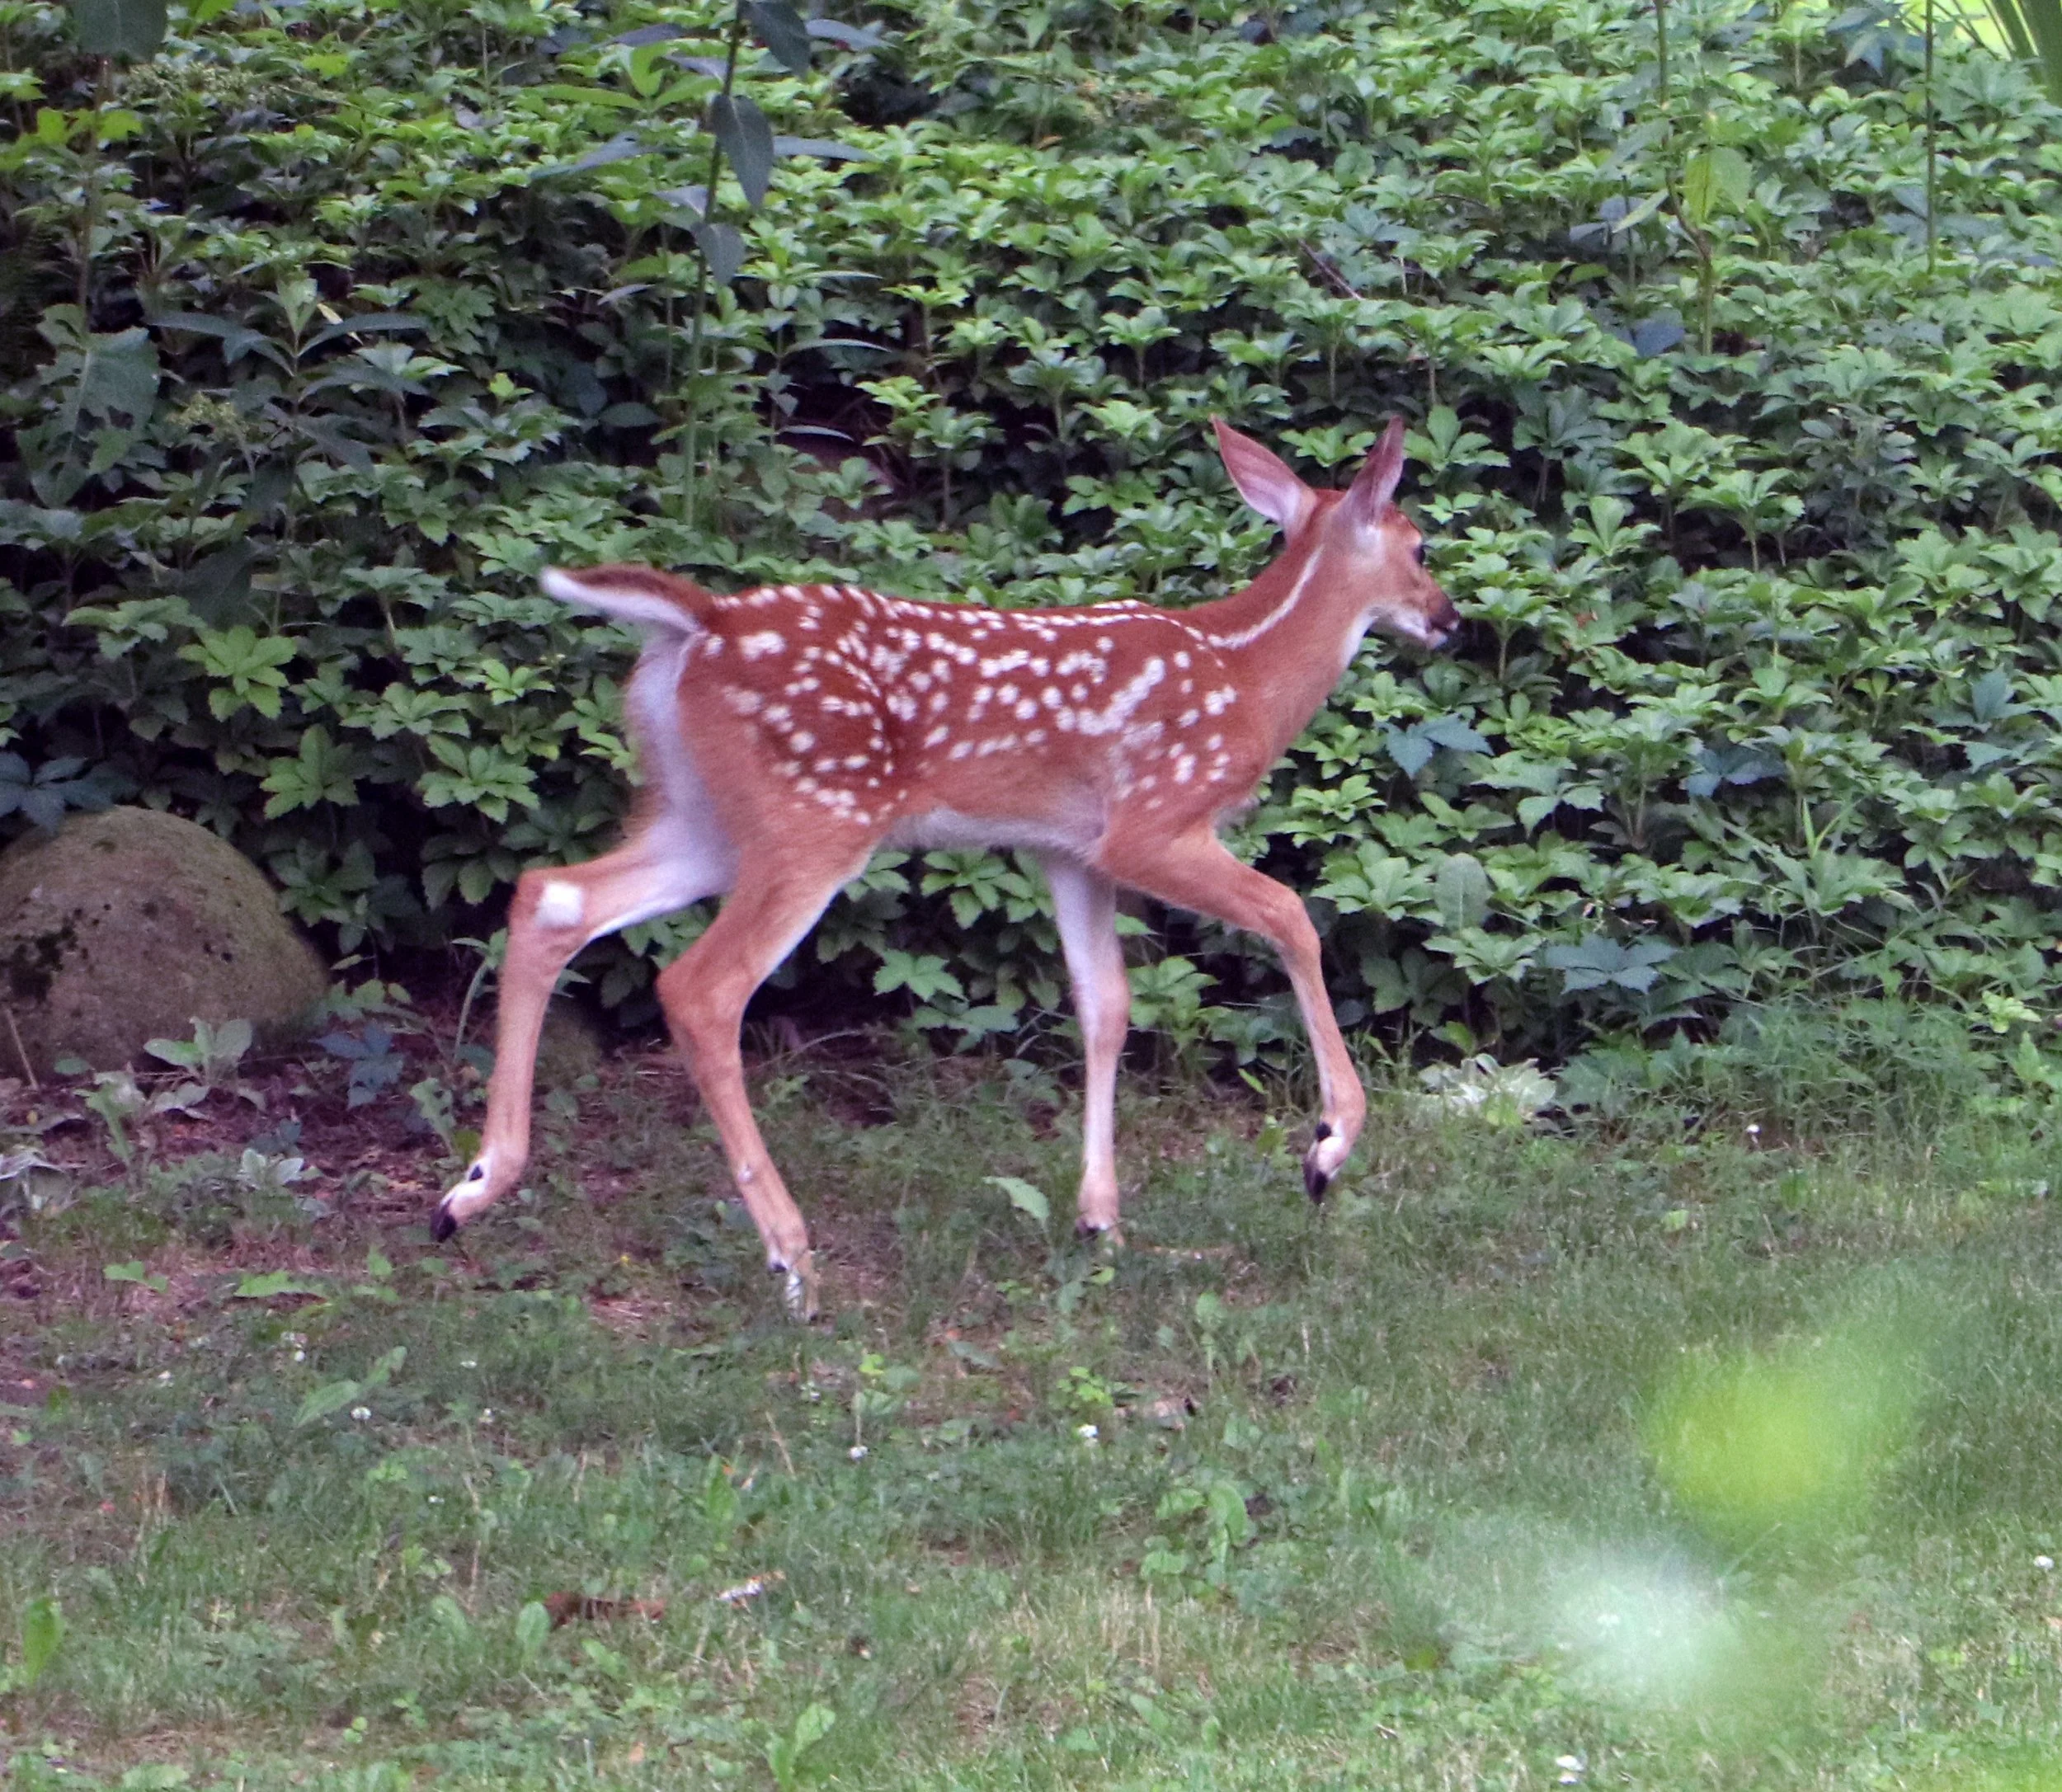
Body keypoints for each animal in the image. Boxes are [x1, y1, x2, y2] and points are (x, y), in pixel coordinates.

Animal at [431, 419, 1459, 1319]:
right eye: (1420, 545)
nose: (1447, 621)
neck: (1245, 672)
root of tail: (703, 621)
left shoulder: (1068, 850)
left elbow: (1105, 1006)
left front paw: (1101, 1223)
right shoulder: (1152, 822)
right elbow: (1289, 913)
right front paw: (1326, 1147)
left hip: (705, 819)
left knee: (553, 894)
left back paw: (469, 1190)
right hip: (816, 817)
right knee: (701, 985)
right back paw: (793, 1261)